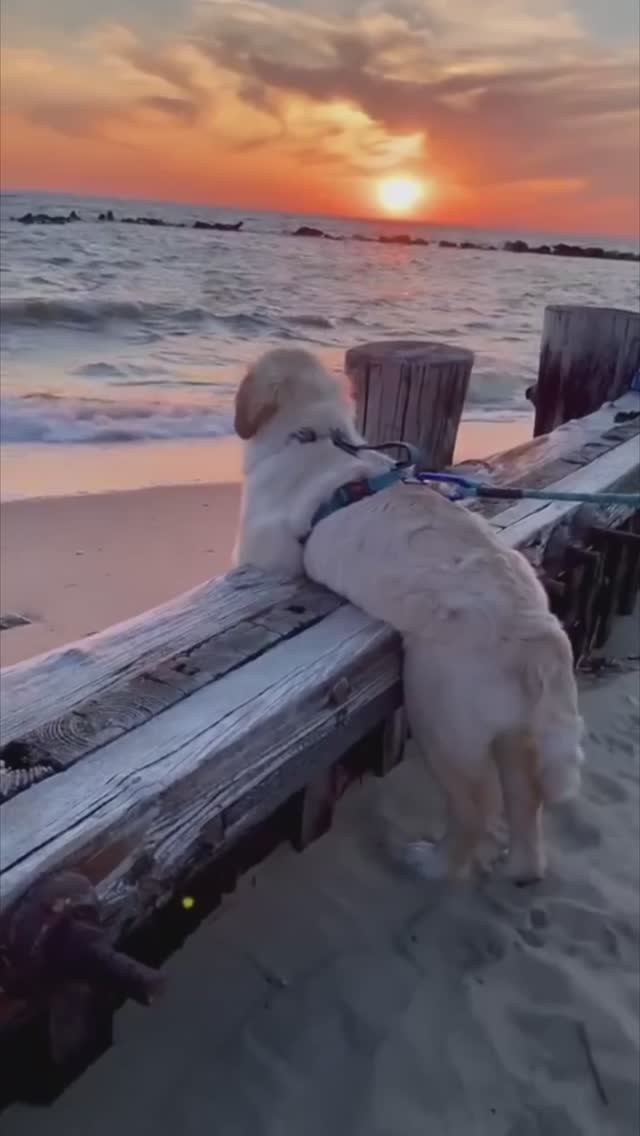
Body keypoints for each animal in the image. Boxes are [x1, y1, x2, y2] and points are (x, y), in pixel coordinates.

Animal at [232, 347, 584, 883]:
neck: (314, 435)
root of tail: (541, 638)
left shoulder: (267, 549)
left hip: (439, 710)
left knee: (476, 808)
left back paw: (435, 864)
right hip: (515, 730)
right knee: (526, 802)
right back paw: (522, 868)